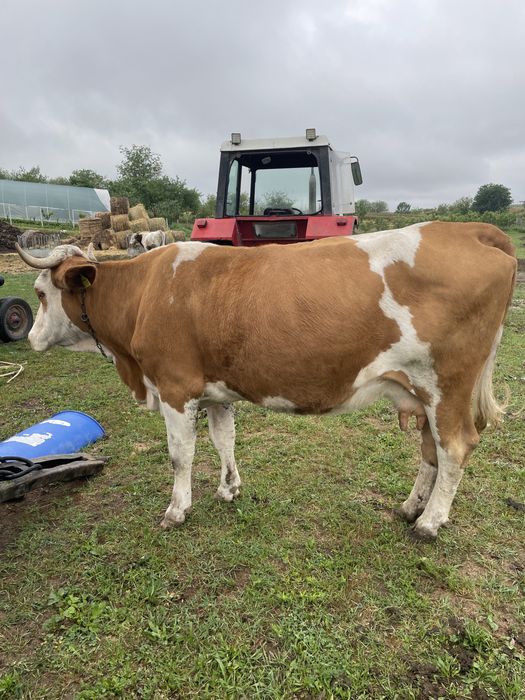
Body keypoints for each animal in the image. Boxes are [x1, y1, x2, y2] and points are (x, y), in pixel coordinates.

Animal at [16, 222, 516, 540]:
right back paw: (413, 508)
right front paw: (228, 488)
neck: (146, 293)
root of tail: (469, 229)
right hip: (424, 391)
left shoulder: (175, 387)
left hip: (447, 385)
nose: (32, 338)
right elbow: (224, 439)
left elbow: (180, 456)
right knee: (432, 449)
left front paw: (177, 510)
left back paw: (430, 523)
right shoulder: (215, 390)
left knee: (455, 447)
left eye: (40, 293)